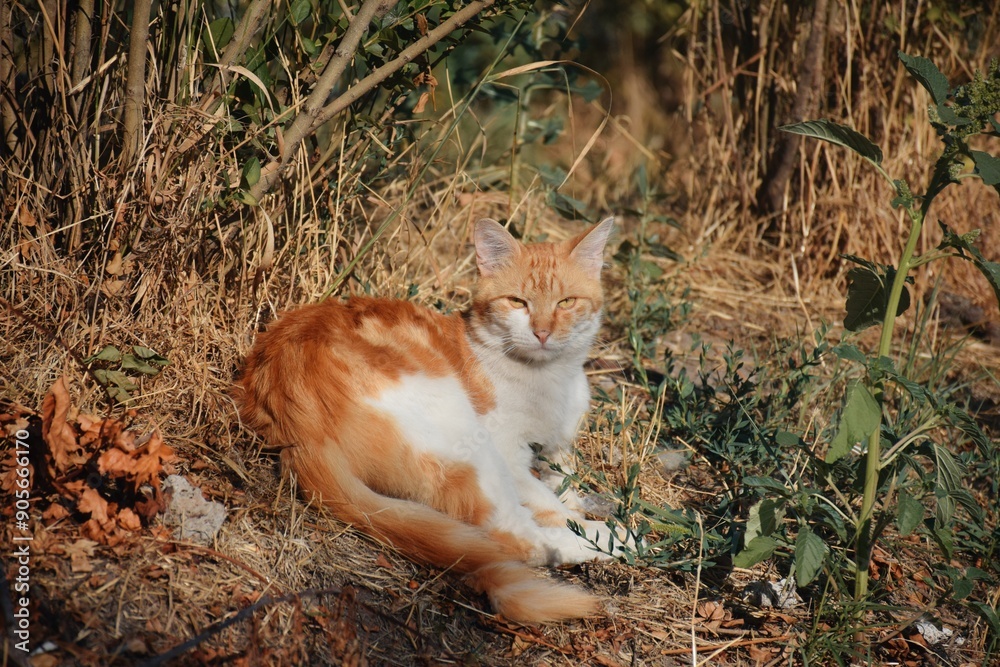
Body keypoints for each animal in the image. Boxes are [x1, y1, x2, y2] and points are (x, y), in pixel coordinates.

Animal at [237, 219, 620, 628]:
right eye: (518, 302)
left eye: (566, 302)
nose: (543, 332)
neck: (548, 378)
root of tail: (295, 424)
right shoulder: (509, 455)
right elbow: (551, 505)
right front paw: (586, 520)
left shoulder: (560, 445)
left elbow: (564, 481)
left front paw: (578, 499)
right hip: (464, 434)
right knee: (513, 536)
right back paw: (620, 537)